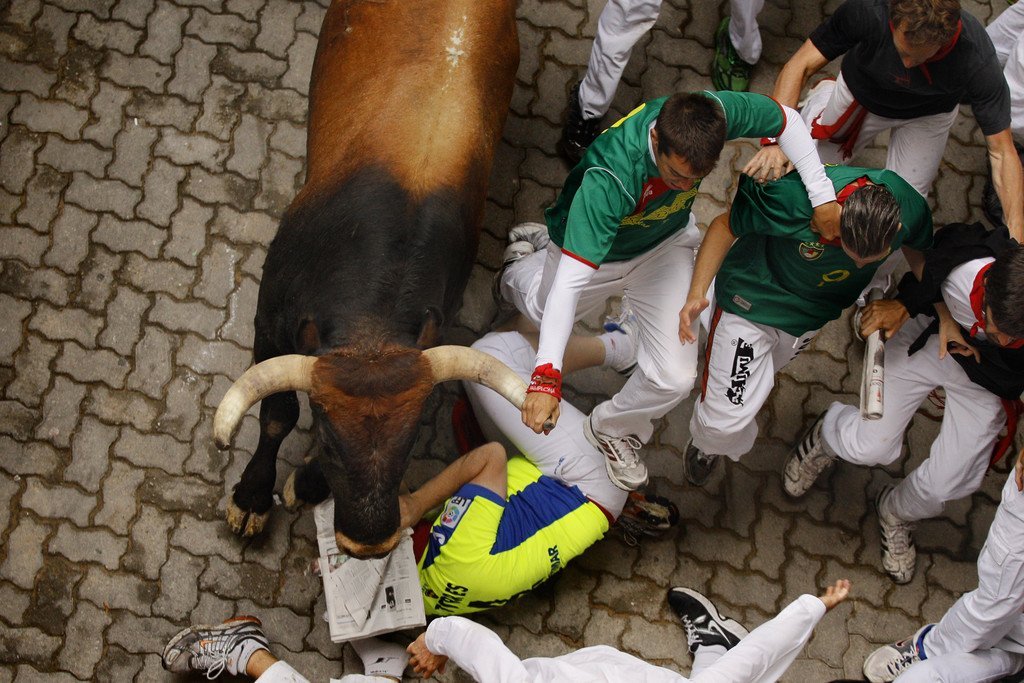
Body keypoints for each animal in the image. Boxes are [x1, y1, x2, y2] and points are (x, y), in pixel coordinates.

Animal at [212, 0, 520, 559]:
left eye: (411, 440)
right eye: (333, 443)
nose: (371, 543)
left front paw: (307, 483)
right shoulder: (267, 323)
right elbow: (277, 414)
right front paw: (251, 498)